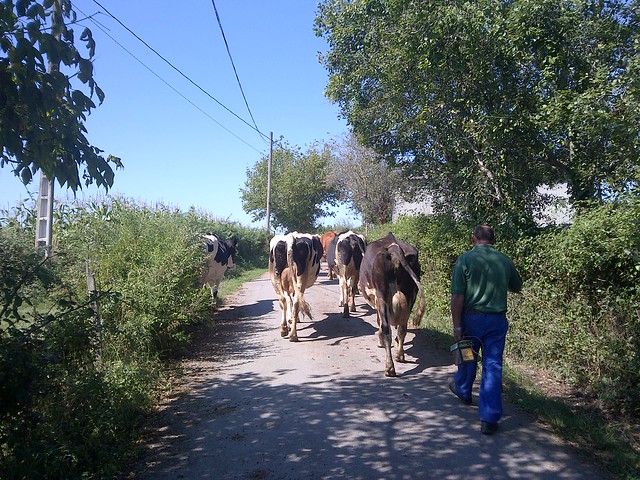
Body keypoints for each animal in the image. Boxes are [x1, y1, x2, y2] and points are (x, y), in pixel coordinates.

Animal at [358, 234, 428, 376]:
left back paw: (389, 368)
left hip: (382, 294)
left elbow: (379, 321)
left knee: (386, 329)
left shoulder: (376, 299)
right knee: (402, 328)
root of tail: (395, 248)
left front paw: (379, 341)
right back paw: (399, 355)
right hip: (411, 294)